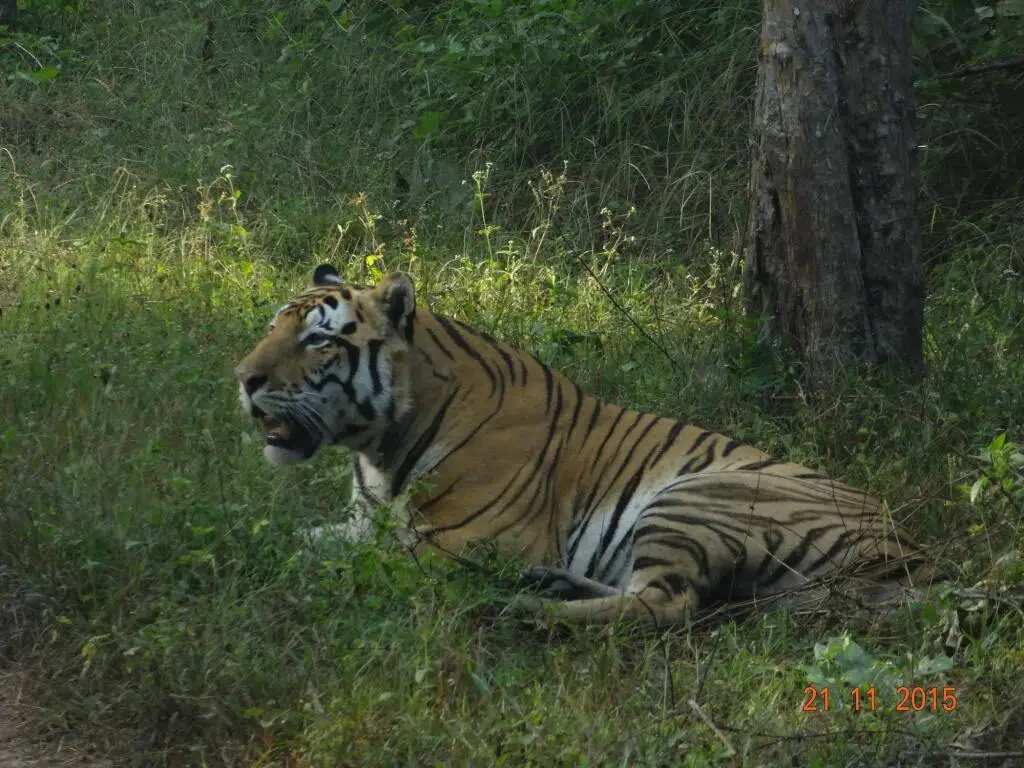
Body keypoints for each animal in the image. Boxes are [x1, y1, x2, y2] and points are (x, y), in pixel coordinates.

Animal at [234, 264, 941, 625]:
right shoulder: (364, 521)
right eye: (274, 327)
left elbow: (355, 564)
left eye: (318, 340)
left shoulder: (465, 541)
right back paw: (549, 587)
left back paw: (526, 607)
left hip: (695, 496)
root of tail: (912, 550)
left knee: (668, 605)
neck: (380, 445)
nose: (243, 379)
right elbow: (293, 536)